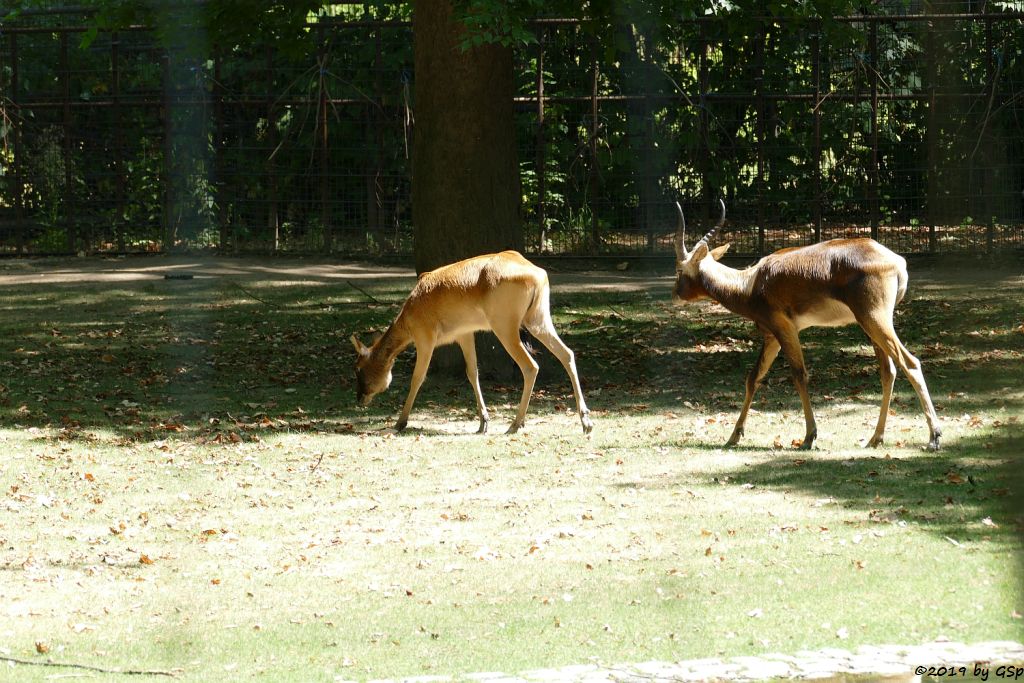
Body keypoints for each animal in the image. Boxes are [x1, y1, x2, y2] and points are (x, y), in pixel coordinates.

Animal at [350, 249, 593, 432]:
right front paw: (483, 422)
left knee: (530, 366)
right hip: (538, 321)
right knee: (567, 353)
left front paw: (400, 422)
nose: (360, 398)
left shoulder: (425, 338)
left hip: (505, 327)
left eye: (358, 368)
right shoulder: (465, 334)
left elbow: (417, 377)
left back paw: (516, 424)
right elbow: (472, 372)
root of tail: (538, 274)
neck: (409, 315)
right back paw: (586, 421)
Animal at [671, 200, 942, 450]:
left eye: (678, 269)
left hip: (874, 320)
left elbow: (799, 374)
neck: (751, 283)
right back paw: (875, 439)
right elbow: (754, 377)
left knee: (909, 363)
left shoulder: (785, 329)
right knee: (889, 371)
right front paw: (733, 436)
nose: (675, 294)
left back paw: (934, 438)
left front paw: (809, 437)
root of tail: (896, 261)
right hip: (870, 325)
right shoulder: (771, 337)